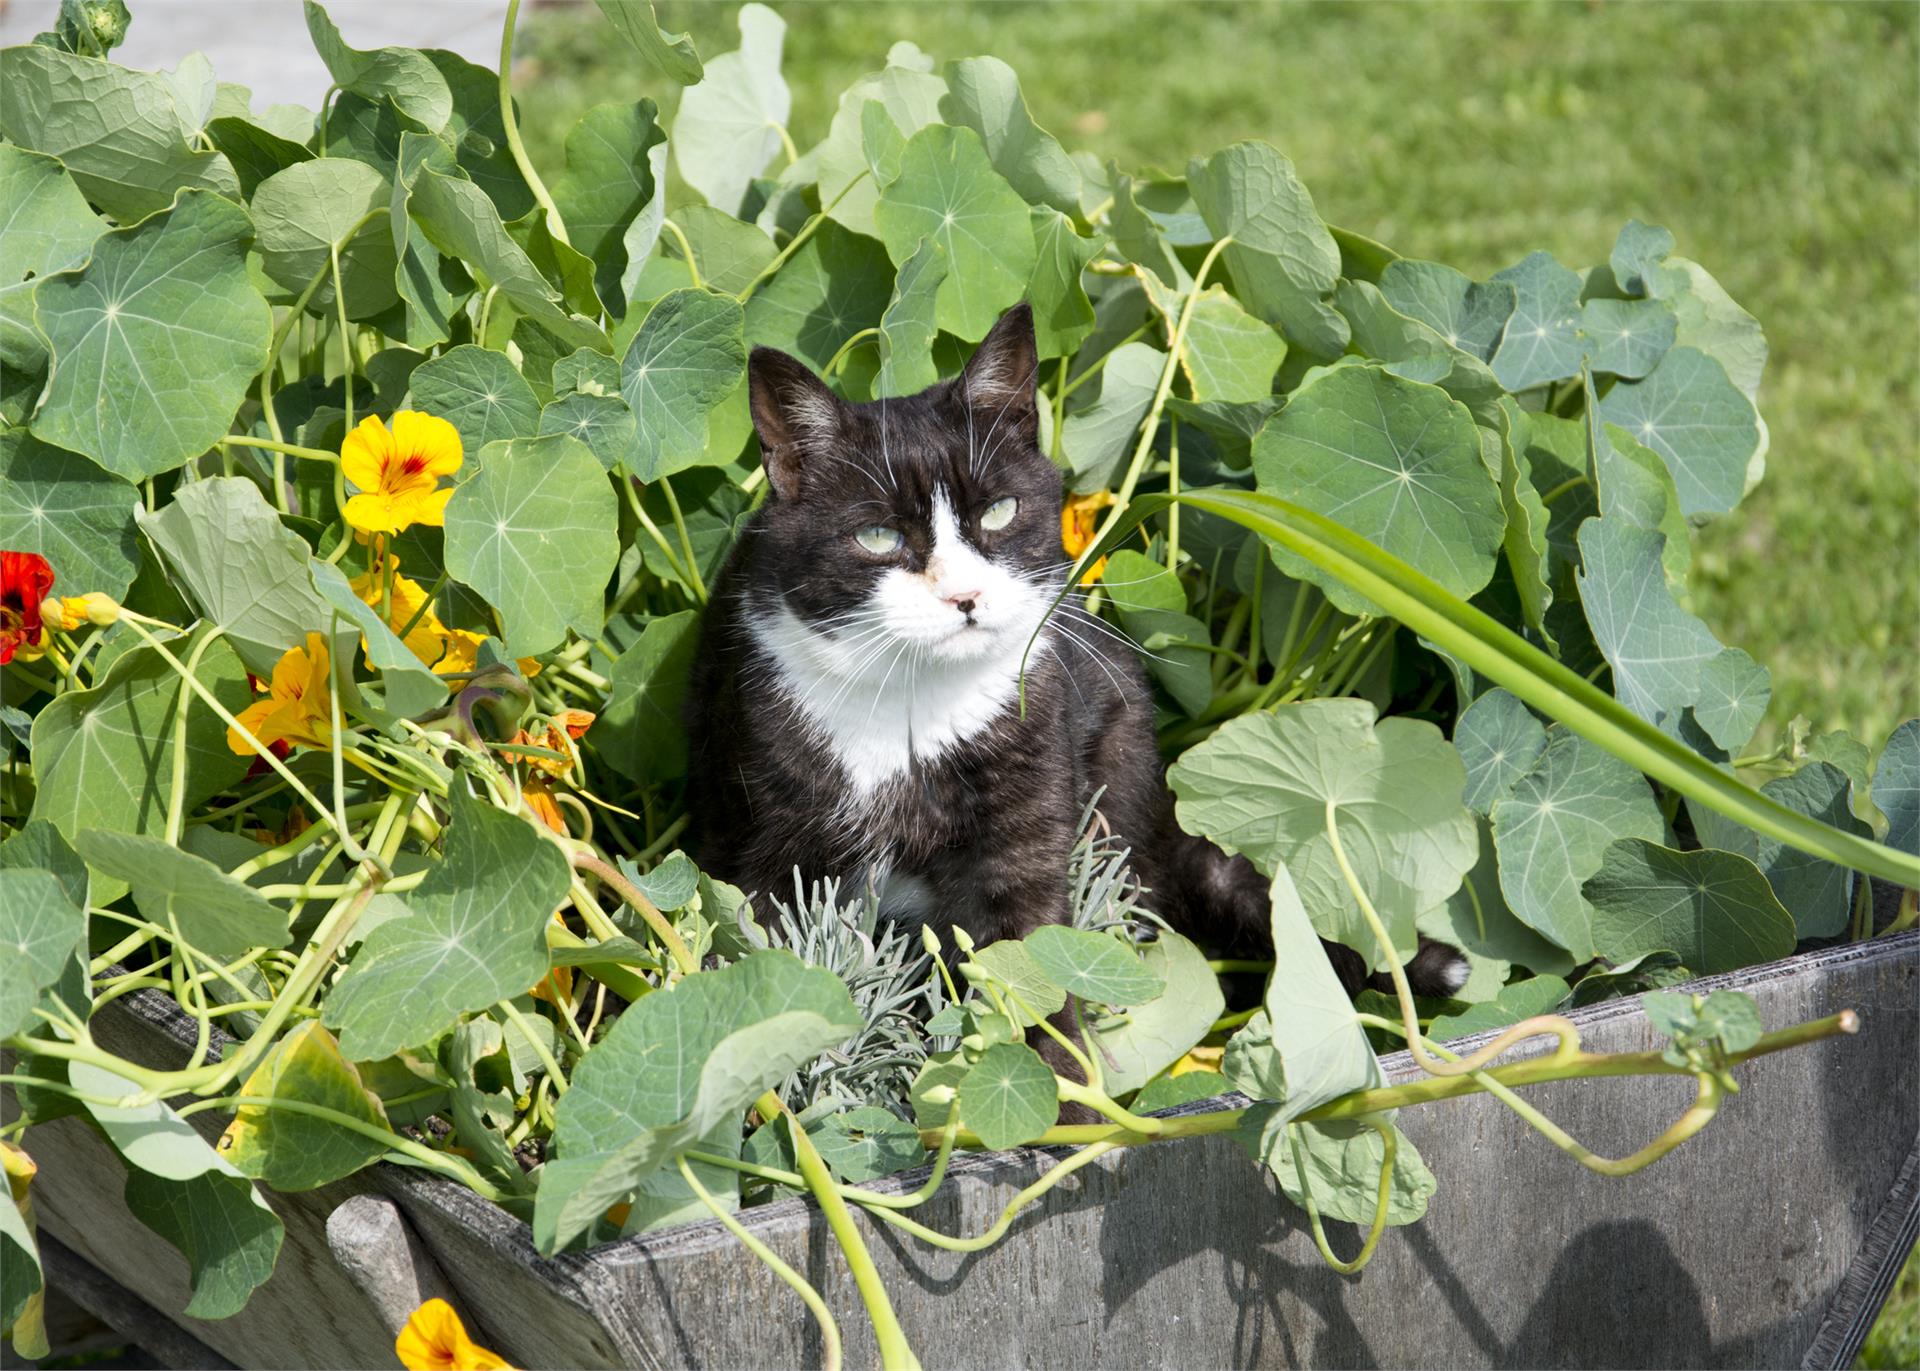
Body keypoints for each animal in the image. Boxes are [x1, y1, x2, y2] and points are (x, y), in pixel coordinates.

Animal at [683, 305, 1459, 998]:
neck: (909, 699)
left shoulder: (1026, 781)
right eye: (877, 536)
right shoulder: (766, 832)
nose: (965, 595)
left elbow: (1026, 955)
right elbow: (765, 950)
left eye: (999, 511)